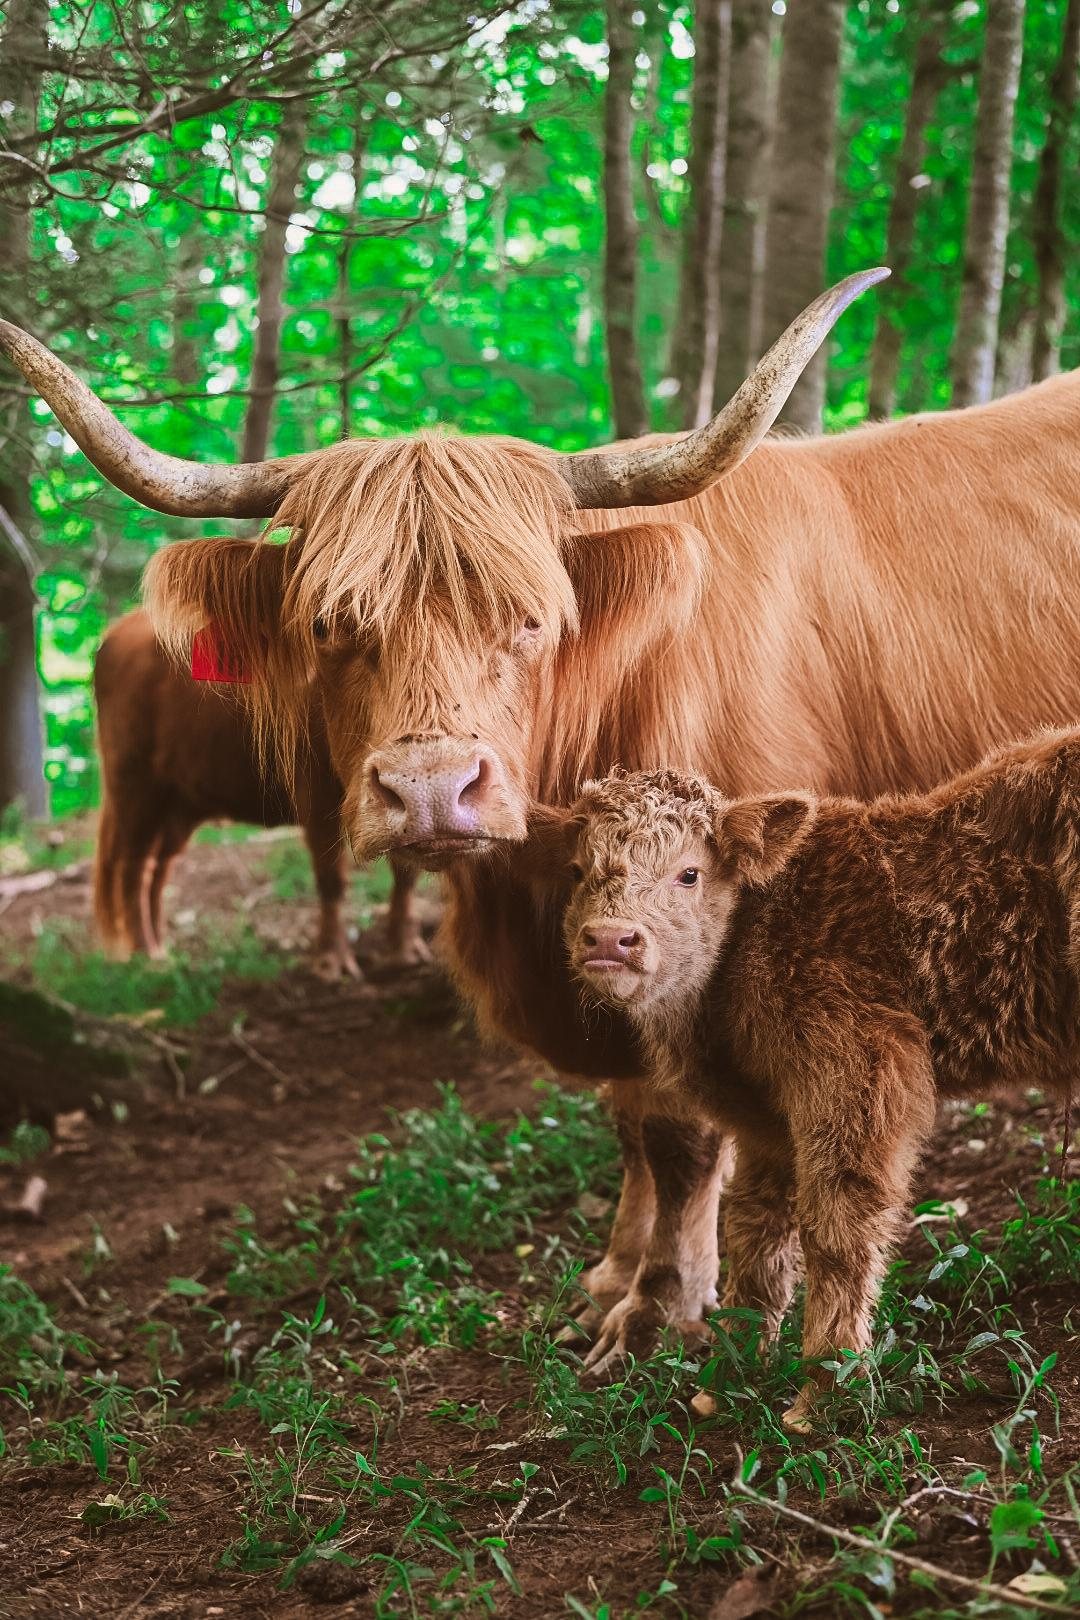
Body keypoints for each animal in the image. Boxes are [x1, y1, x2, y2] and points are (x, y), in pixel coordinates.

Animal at [93, 608, 428, 979]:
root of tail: (116, 632)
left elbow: (406, 875)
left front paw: (404, 951)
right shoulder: (314, 791)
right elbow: (331, 878)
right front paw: (331, 962)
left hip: (177, 803)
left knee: (158, 868)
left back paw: (162, 947)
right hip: (134, 786)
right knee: (132, 868)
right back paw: (147, 954)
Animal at [559, 746, 1079, 1427]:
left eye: (690, 874)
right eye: (577, 870)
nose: (609, 939)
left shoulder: (860, 1071)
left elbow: (837, 1224)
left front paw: (826, 1390)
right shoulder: (764, 1119)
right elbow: (755, 1230)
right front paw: (728, 1374)